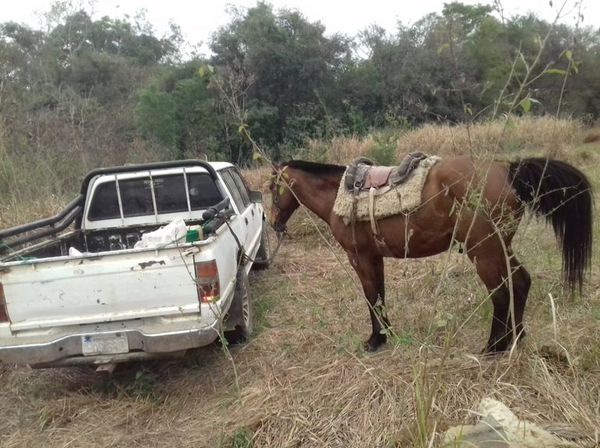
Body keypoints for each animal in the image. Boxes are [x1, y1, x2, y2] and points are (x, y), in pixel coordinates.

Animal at [270, 157, 592, 354]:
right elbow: (380, 296)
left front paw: (374, 340)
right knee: (520, 282)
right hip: (500, 247)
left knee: (501, 291)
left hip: (484, 251)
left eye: (273, 188)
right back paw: (516, 336)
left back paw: (494, 346)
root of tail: (509, 172)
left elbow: (371, 297)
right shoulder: (374, 257)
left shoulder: (359, 257)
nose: (273, 223)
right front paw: (386, 335)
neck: (341, 195)